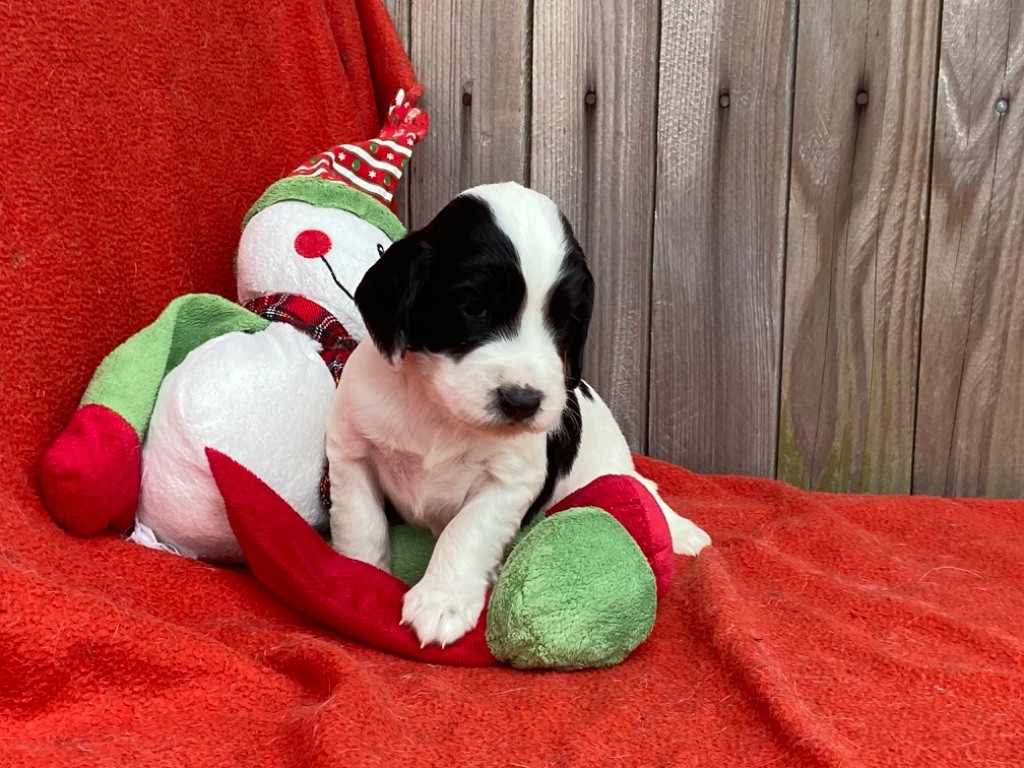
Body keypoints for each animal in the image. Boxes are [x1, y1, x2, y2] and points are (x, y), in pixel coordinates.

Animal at [327, 183, 712, 647]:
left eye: (566, 320)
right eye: (474, 308)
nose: (523, 401)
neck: (438, 411)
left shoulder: (510, 482)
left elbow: (466, 531)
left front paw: (442, 599)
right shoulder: (353, 453)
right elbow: (360, 524)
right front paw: (361, 578)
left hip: (609, 468)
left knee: (642, 485)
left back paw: (681, 530)